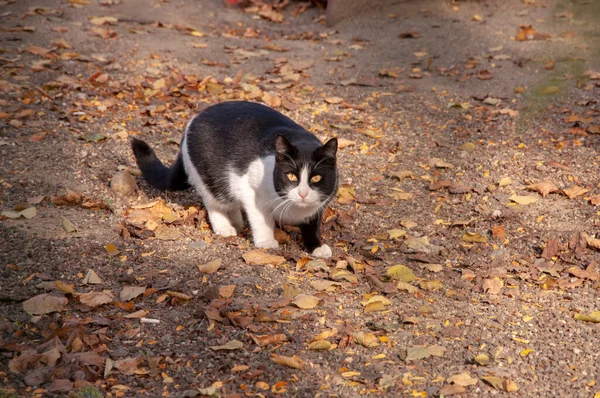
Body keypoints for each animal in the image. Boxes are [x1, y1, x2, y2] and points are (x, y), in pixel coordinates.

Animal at [131, 100, 338, 258]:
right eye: (291, 176)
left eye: (316, 178)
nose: (303, 194)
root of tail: (193, 120)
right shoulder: (251, 189)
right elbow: (261, 218)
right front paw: (266, 241)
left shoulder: (320, 203)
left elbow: (312, 224)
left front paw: (316, 246)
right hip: (210, 177)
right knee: (214, 202)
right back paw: (225, 226)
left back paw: (237, 222)